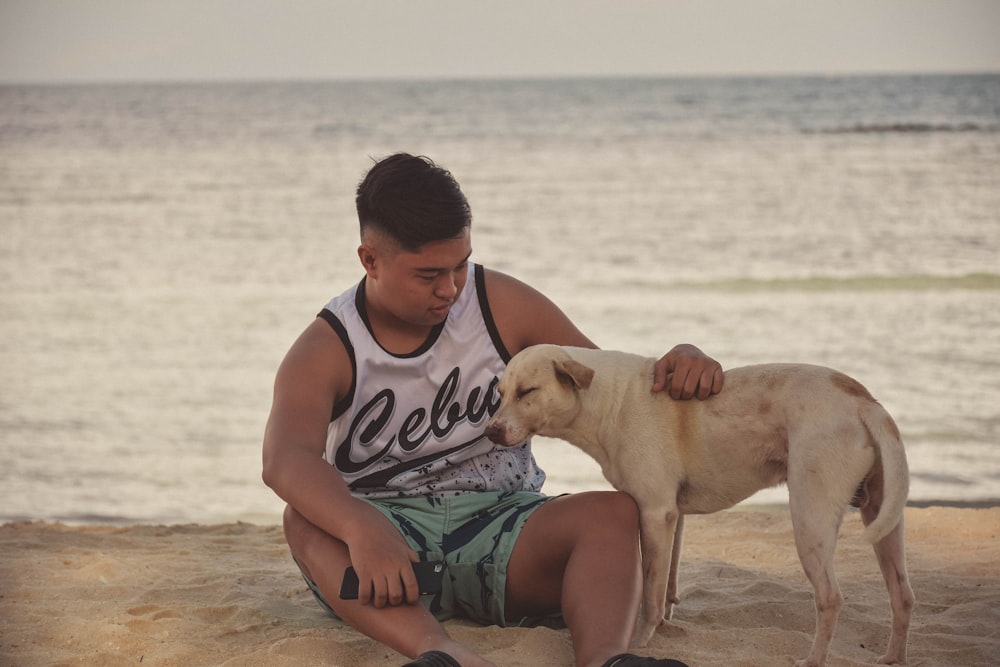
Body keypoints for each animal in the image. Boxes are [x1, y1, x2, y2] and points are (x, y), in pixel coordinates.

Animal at [484, 348, 916, 667]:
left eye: (527, 391)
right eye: (500, 394)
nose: (490, 431)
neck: (607, 401)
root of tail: (864, 401)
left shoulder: (654, 512)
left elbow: (651, 594)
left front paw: (642, 640)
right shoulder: (672, 515)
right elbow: (667, 586)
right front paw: (668, 627)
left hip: (810, 517)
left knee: (830, 597)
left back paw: (812, 660)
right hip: (883, 516)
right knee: (903, 594)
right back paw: (892, 658)